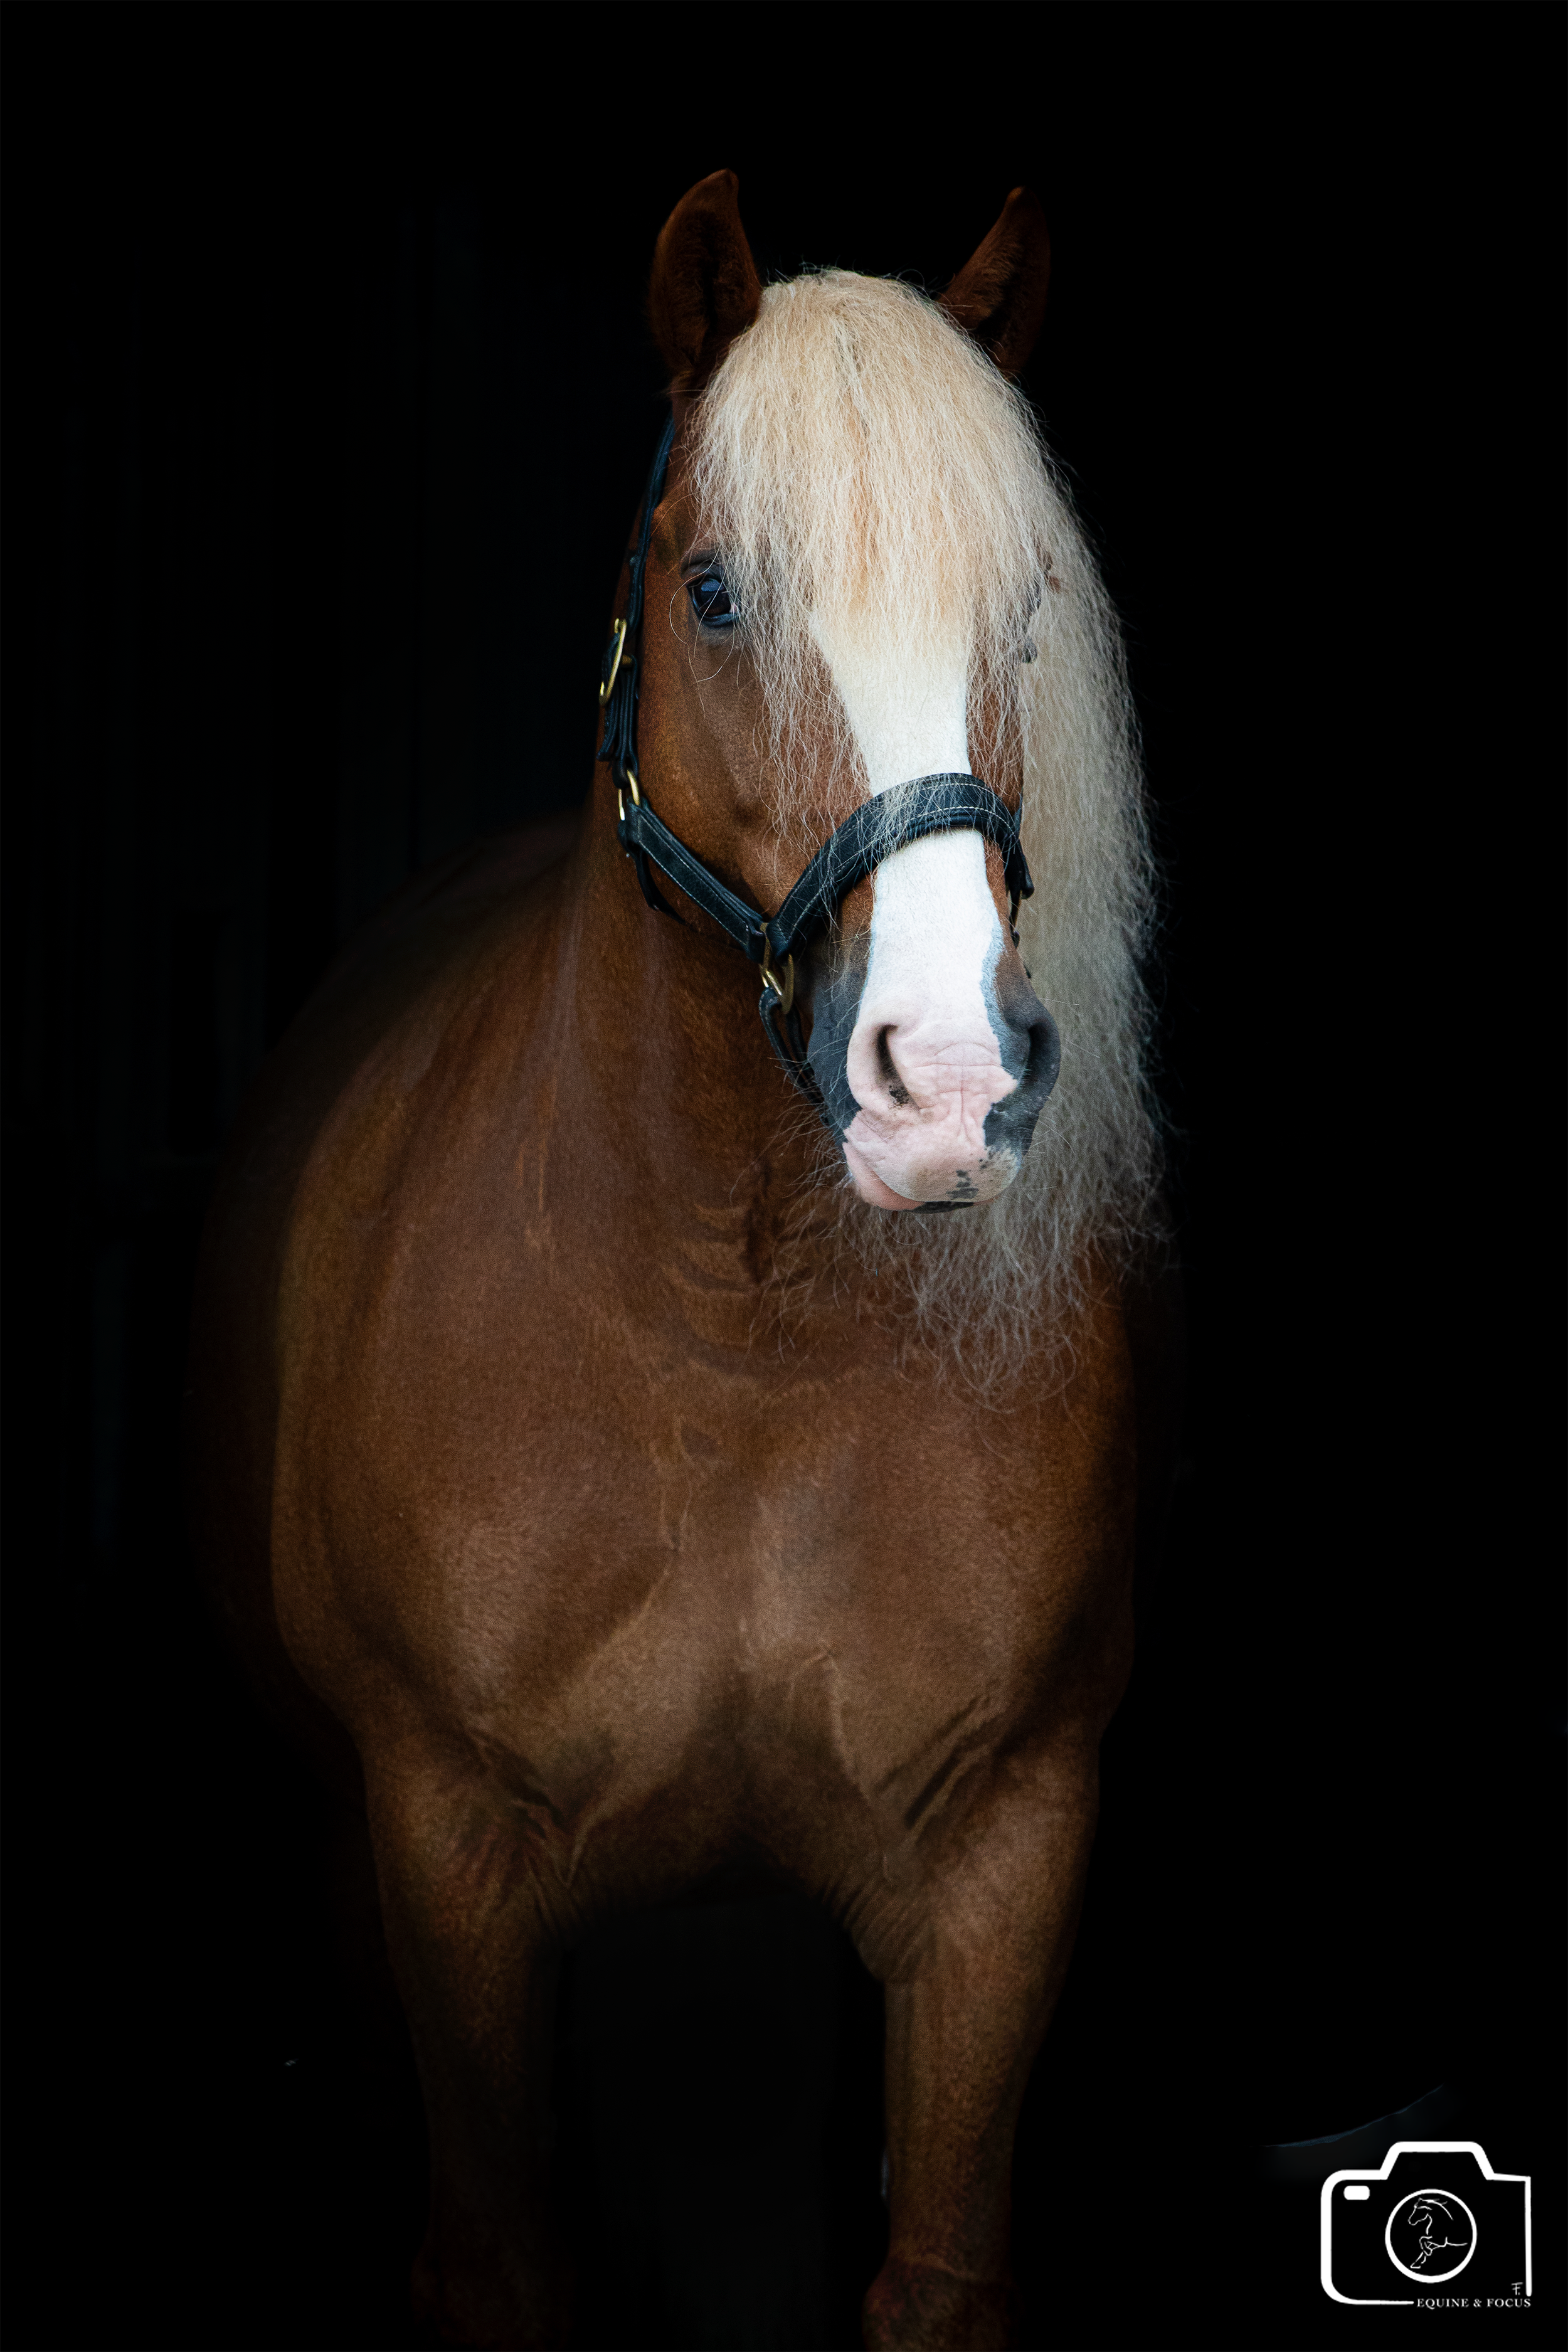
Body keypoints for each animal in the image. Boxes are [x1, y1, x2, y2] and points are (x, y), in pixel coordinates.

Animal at [187, 169, 1181, 2351]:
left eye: (1025, 613)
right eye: (720, 593)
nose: (944, 1077)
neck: (730, 1334)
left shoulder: (1004, 1853)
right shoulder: (442, 1849)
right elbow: (494, 2259)